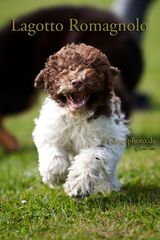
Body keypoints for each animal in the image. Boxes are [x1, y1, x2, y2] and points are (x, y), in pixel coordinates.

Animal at [32, 43, 129, 199]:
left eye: (92, 67)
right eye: (63, 69)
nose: (77, 81)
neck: (78, 116)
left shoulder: (107, 139)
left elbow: (91, 158)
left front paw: (78, 185)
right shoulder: (50, 130)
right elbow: (53, 153)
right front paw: (57, 176)